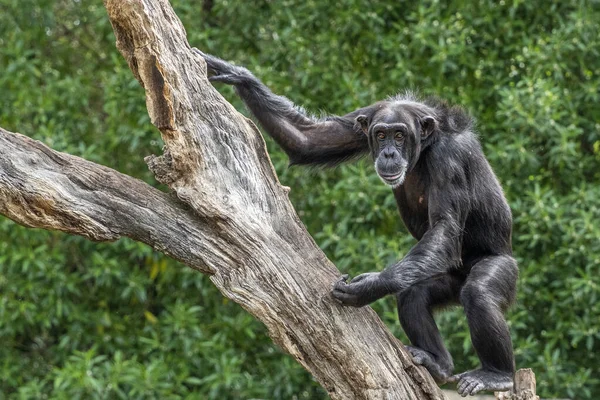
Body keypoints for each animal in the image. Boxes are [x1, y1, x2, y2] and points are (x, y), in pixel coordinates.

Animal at [197, 50, 516, 396]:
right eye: (381, 134)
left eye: (400, 135)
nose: (388, 152)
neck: (426, 147)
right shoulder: (364, 119)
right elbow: (309, 140)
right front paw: (238, 74)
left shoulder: (450, 157)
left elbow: (444, 226)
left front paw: (370, 286)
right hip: (444, 278)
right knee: (415, 293)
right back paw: (438, 363)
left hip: (505, 269)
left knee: (479, 294)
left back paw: (496, 374)